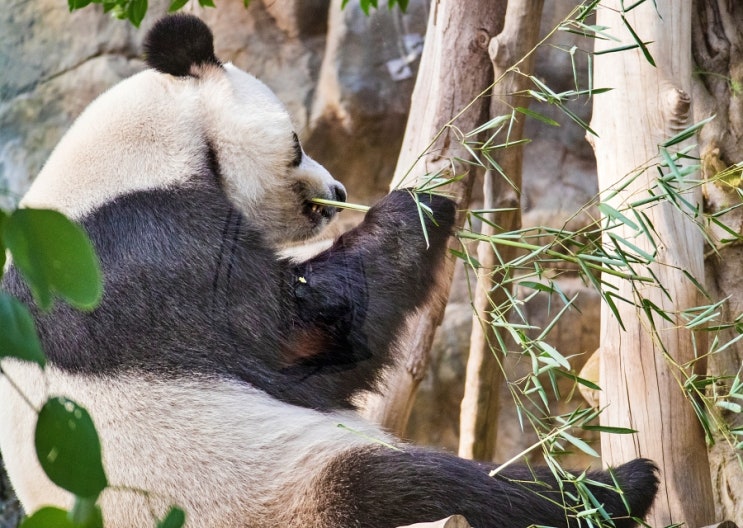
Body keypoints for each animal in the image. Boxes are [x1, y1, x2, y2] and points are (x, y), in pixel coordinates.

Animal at [0, 12, 660, 528]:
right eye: (296, 144)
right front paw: (417, 209)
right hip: (279, 485)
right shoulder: (146, 254)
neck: (129, 159)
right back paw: (618, 487)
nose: (340, 191)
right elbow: (303, 338)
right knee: (436, 490)